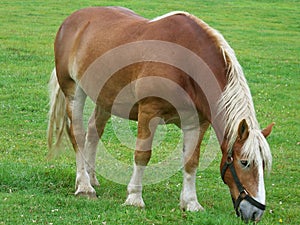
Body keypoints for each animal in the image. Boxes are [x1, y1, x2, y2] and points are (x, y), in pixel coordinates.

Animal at [47, 7, 274, 223]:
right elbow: (142, 155)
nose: (256, 212)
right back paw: (84, 186)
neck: (187, 63)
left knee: (93, 133)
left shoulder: (197, 123)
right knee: (78, 135)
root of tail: (72, 20)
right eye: (244, 162)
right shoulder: (149, 112)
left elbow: (191, 162)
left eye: (263, 164)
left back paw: (91, 178)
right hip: (74, 91)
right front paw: (134, 198)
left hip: (105, 97)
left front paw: (191, 203)